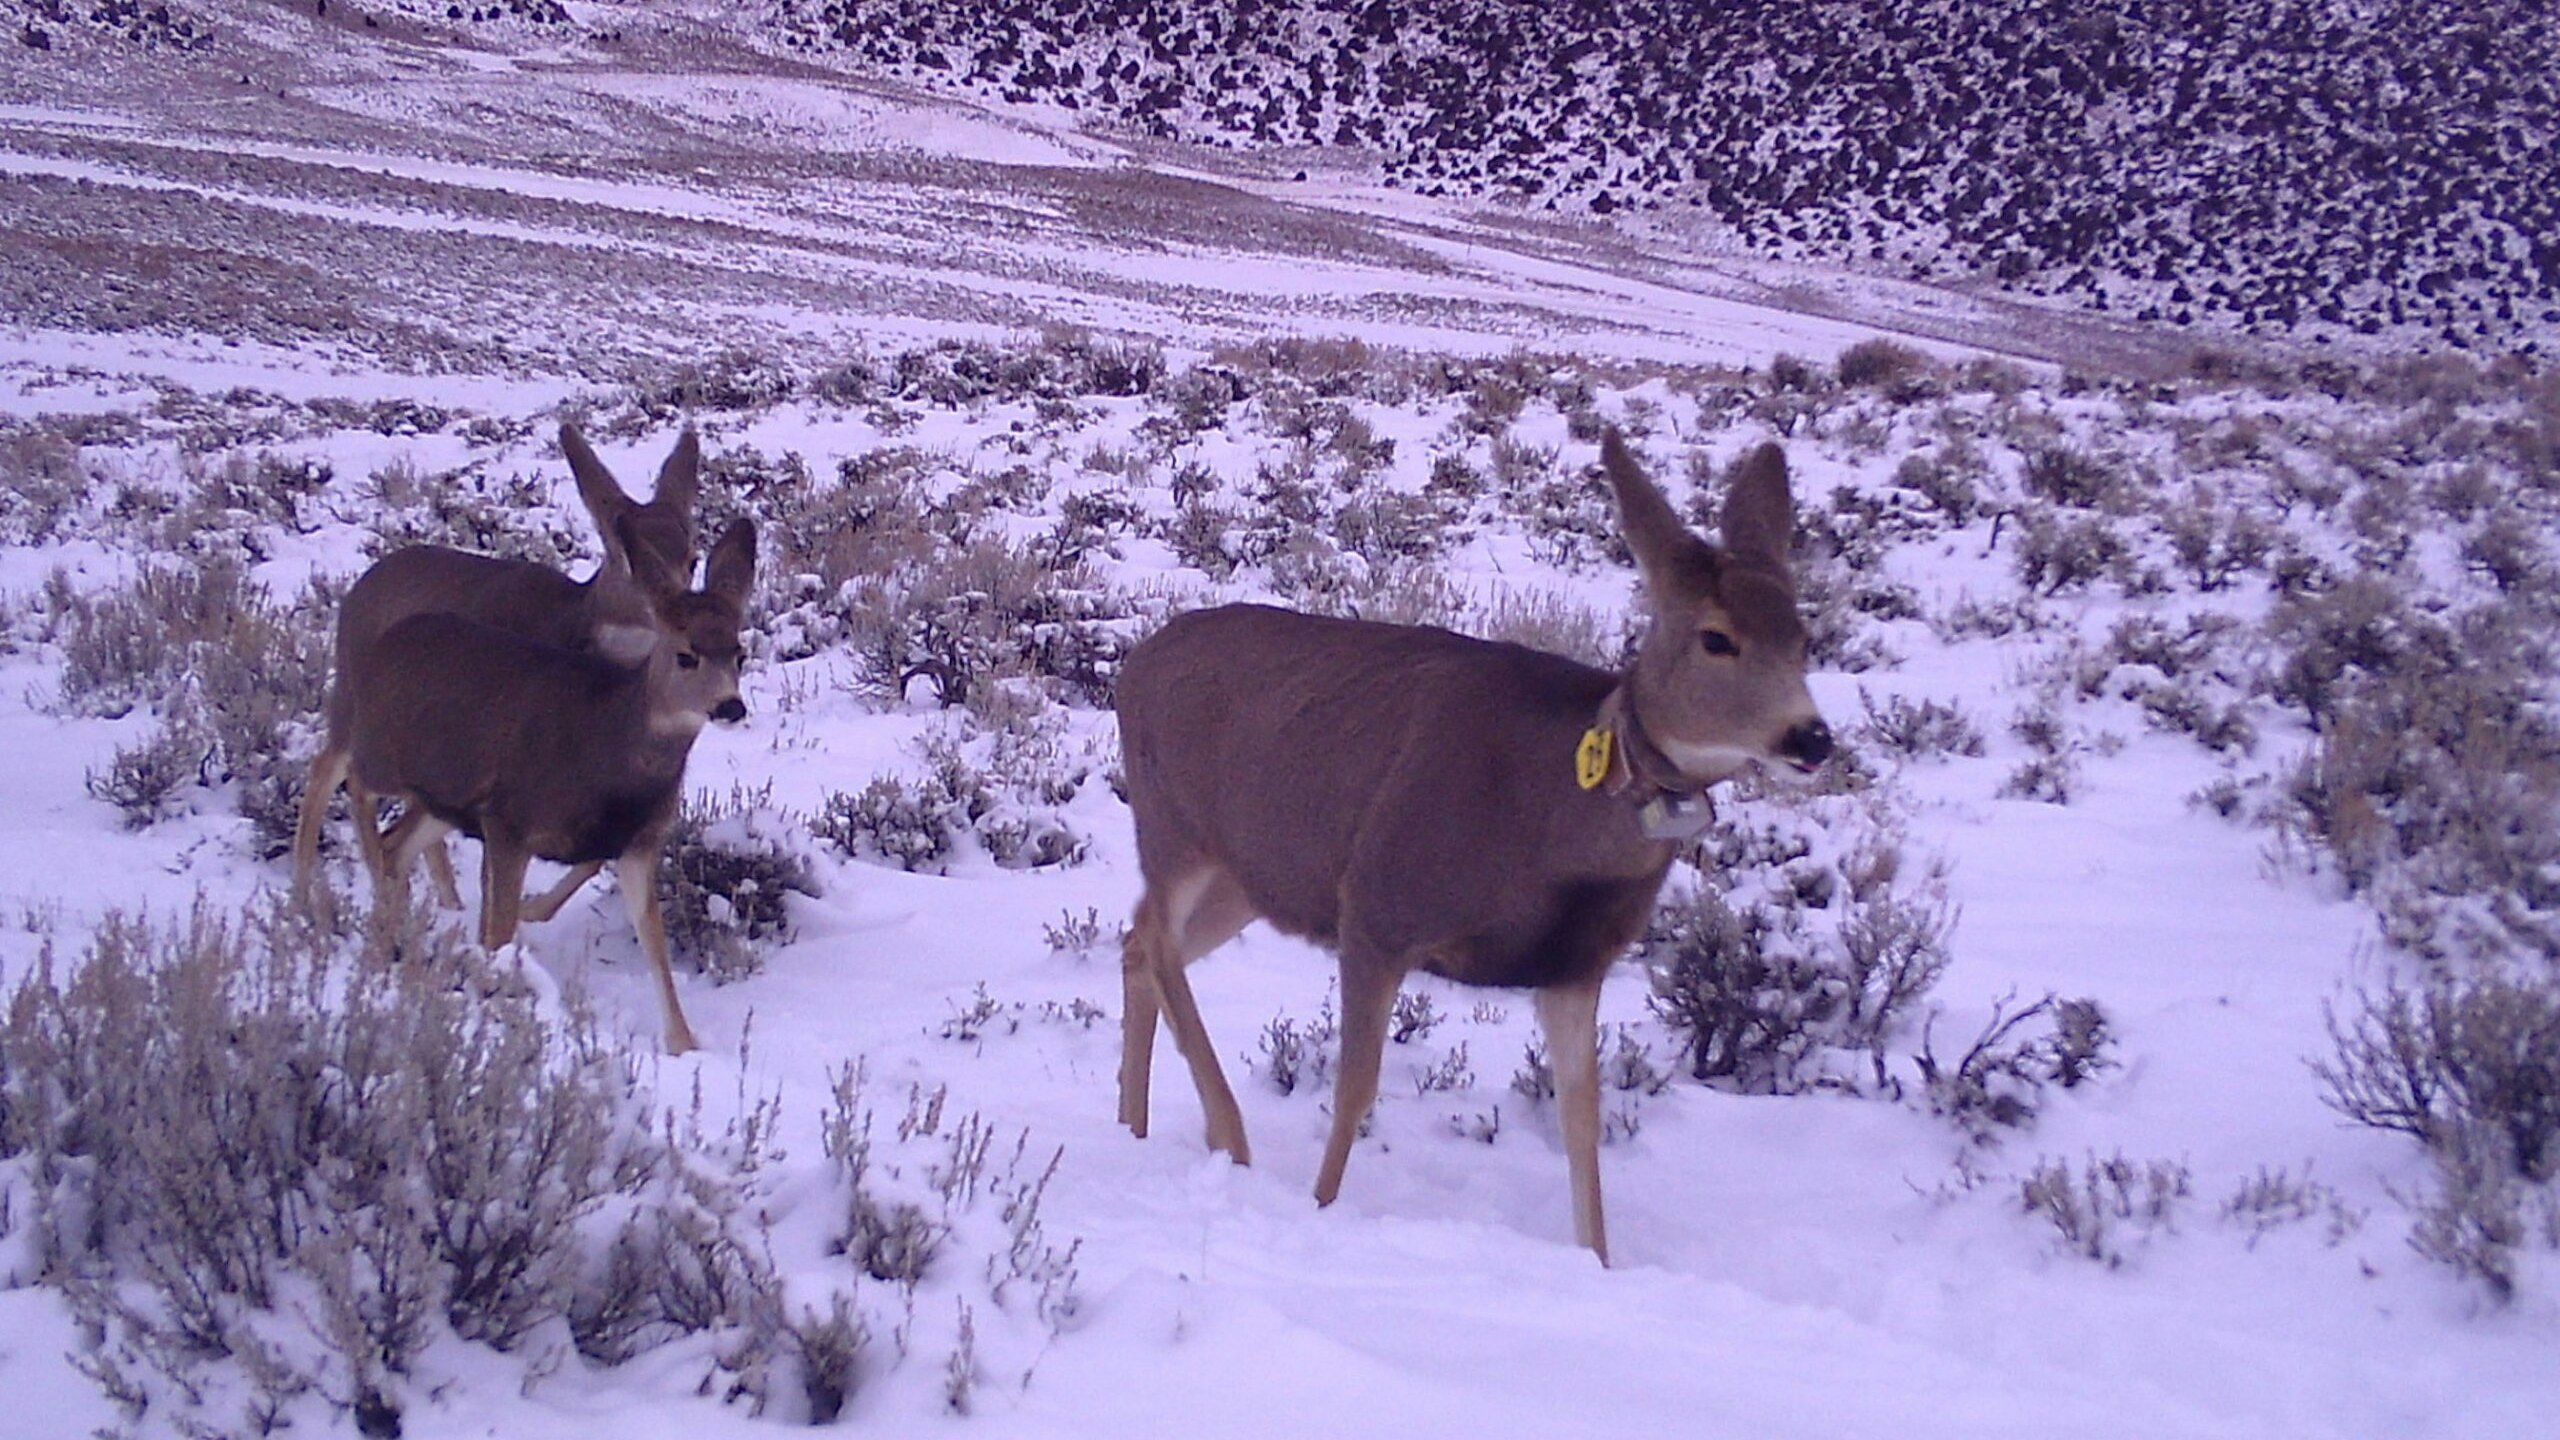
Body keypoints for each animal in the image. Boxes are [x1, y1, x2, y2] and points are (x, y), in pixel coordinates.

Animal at [292, 423, 701, 916]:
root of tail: (358, 587)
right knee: (330, 770)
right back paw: (308, 897)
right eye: (625, 558)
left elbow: (596, 857)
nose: (679, 616)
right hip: (358, 694)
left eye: (693, 558)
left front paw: (532, 910)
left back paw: (443, 903)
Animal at [344, 514, 759, 1055]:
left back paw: (386, 945)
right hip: (382, 750)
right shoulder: (509, 820)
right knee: (348, 779)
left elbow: (654, 940)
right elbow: (499, 928)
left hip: (443, 798)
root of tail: (394, 634)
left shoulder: (639, 843)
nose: (730, 706)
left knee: (397, 843)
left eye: (739, 653)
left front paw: (684, 1043)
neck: (612, 752)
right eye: (686, 655)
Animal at [1113, 429, 1830, 1265]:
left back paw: (1133, 1125)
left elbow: (1581, 1118)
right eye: (1717, 638)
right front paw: (1322, 1209)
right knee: (1157, 937)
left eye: (1804, 637)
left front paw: (1597, 1261)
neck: (1544, 826)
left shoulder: (1574, 964)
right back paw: (1228, 1135)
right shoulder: (1378, 903)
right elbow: (1357, 1084)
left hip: (1253, 875)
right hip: (1175, 823)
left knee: (1137, 941)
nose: (1811, 737)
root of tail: (1133, 663)